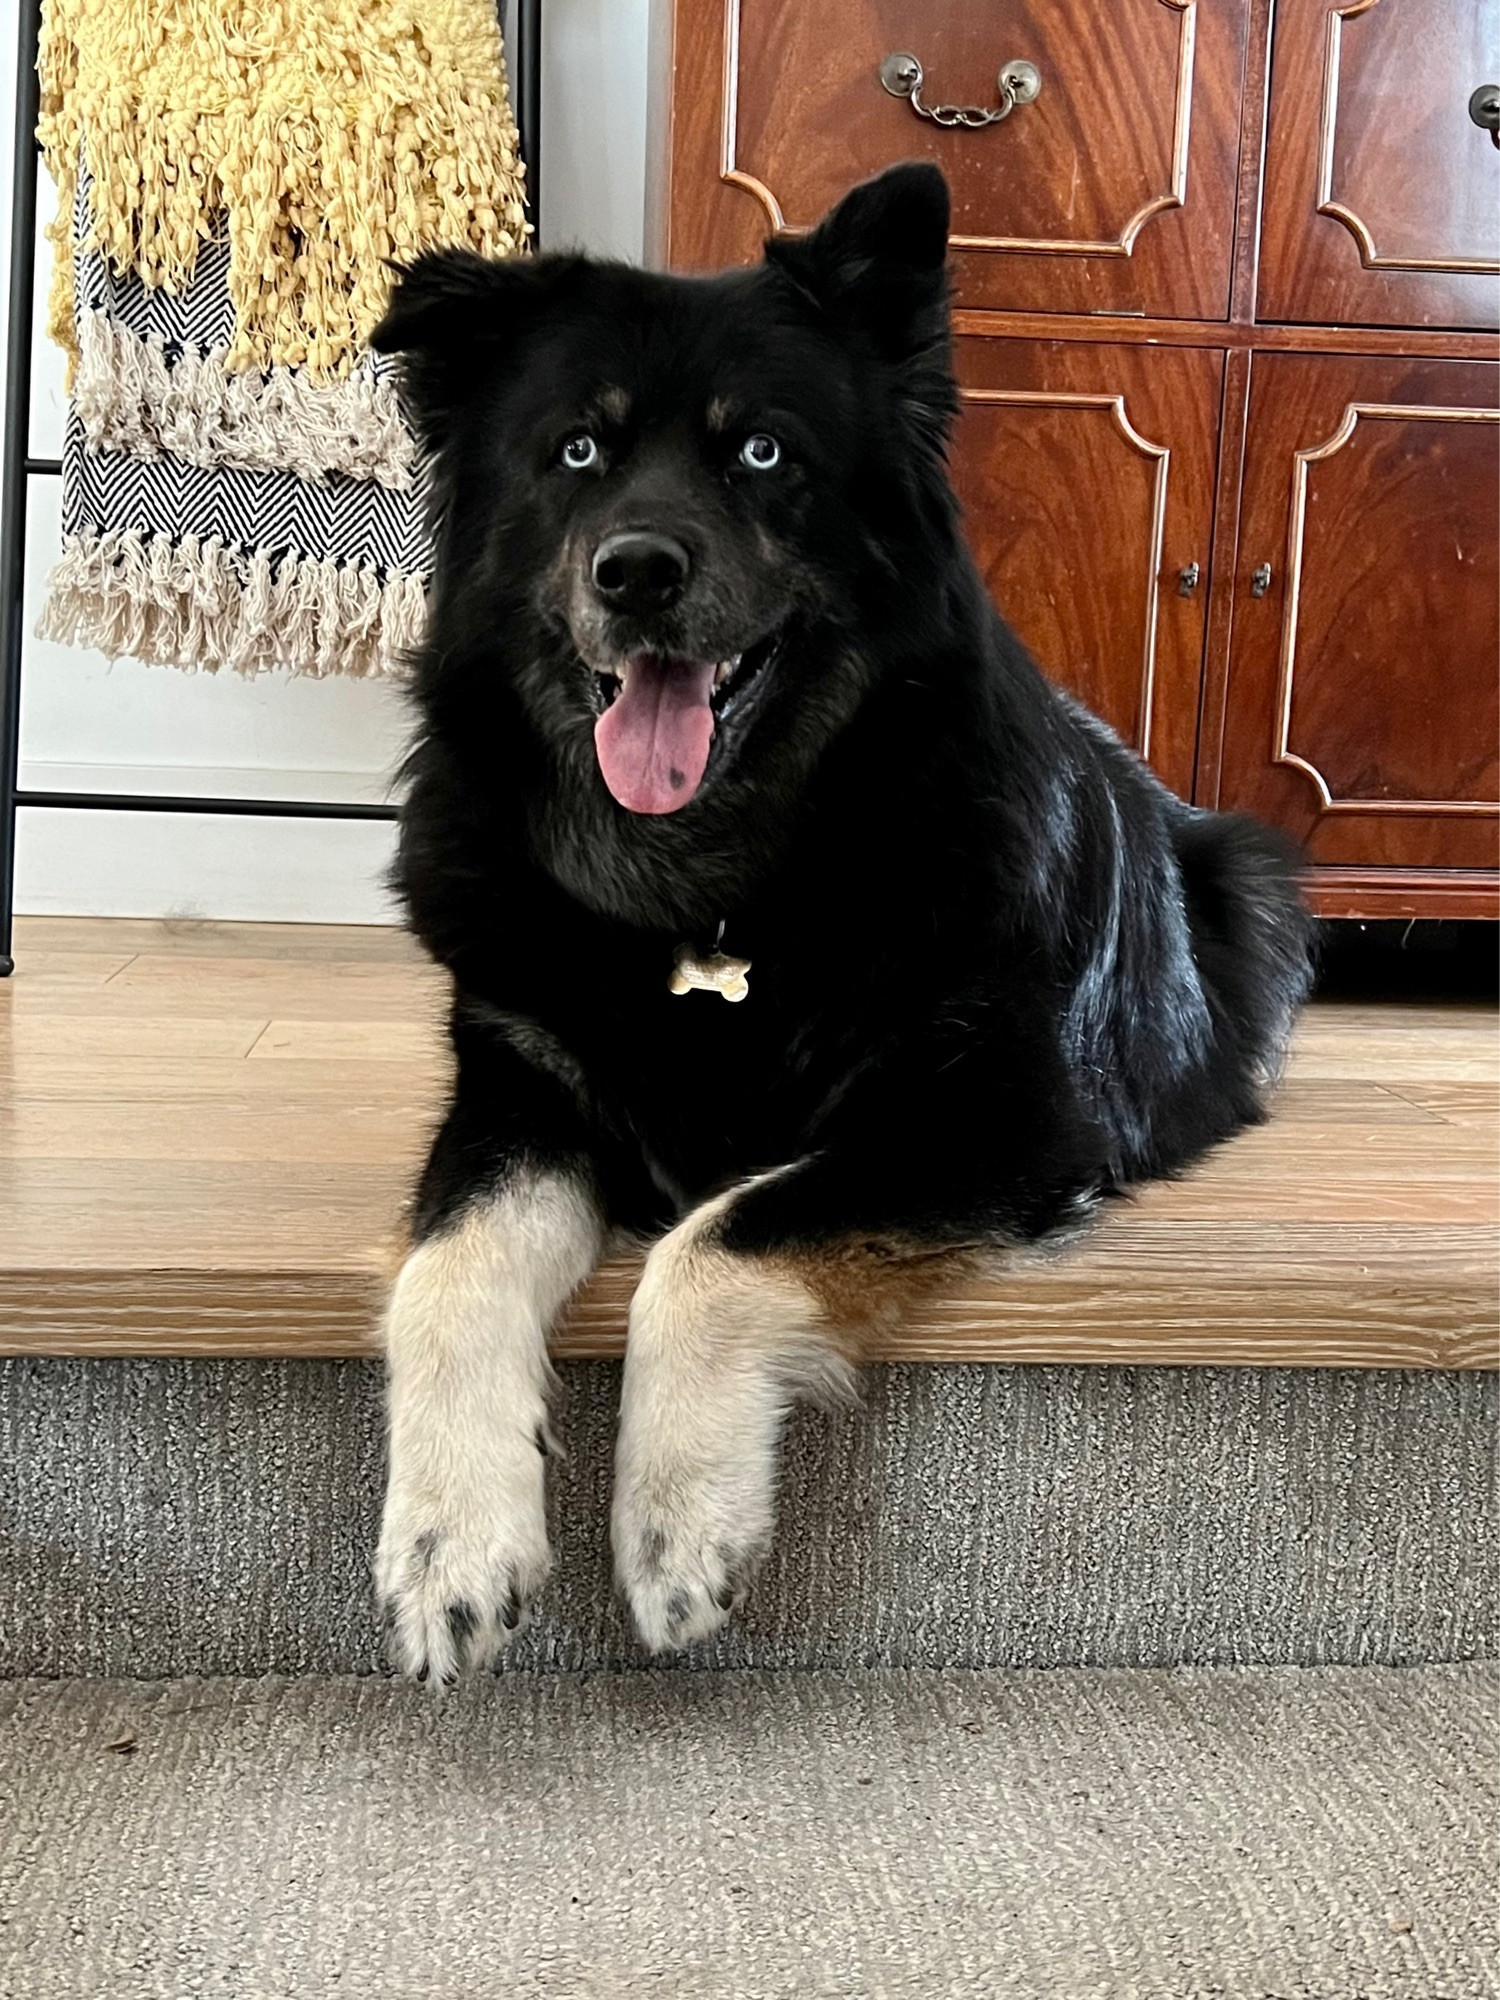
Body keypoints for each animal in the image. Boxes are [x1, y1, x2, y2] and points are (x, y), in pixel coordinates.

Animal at [370, 164, 1312, 1680]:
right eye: (576, 452)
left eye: (762, 454)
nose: (637, 572)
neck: (713, 887)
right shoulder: (516, 1086)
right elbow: (443, 1269)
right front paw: (449, 1538)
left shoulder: (996, 1117)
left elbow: (717, 1238)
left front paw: (676, 1524)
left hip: (1261, 884)